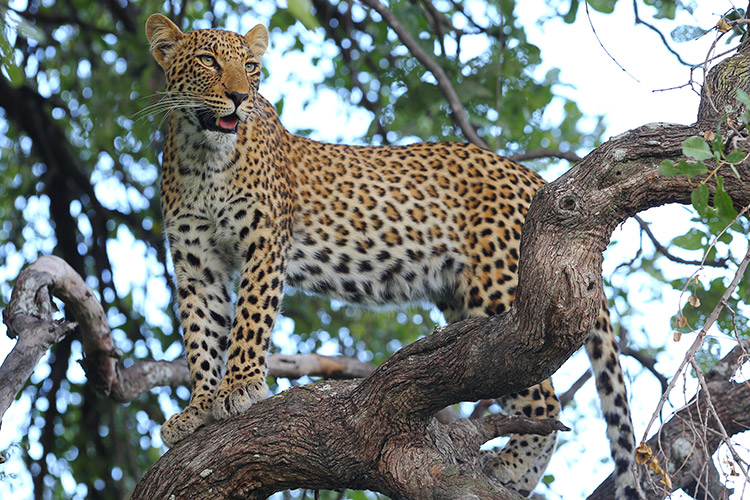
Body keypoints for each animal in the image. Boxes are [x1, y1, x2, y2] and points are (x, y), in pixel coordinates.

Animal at [144, 13, 636, 498]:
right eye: (208, 61)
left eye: (250, 67)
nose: (239, 97)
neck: (204, 157)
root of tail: (532, 176)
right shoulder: (196, 266)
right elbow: (202, 336)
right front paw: (199, 408)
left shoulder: (264, 243)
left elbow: (249, 320)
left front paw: (240, 388)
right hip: (460, 299)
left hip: (503, 288)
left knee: (542, 392)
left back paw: (514, 467)